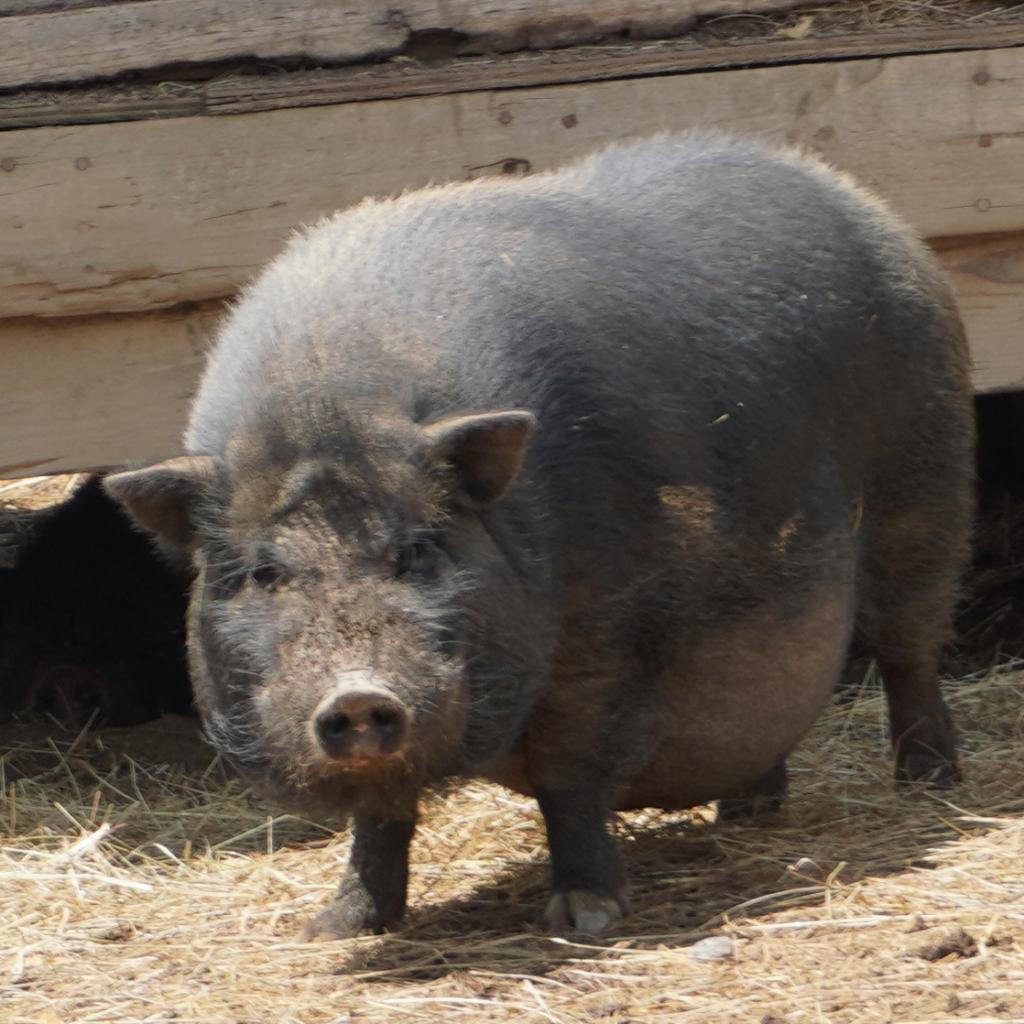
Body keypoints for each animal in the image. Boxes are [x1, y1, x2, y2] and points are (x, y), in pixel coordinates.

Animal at [105, 132, 975, 939]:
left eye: (418, 550)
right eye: (263, 574)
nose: (356, 696)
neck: (332, 397)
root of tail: (865, 203)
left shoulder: (606, 628)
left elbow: (570, 778)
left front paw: (585, 918)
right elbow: (380, 818)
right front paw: (338, 929)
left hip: (926, 487)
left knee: (908, 644)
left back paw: (931, 781)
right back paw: (747, 814)